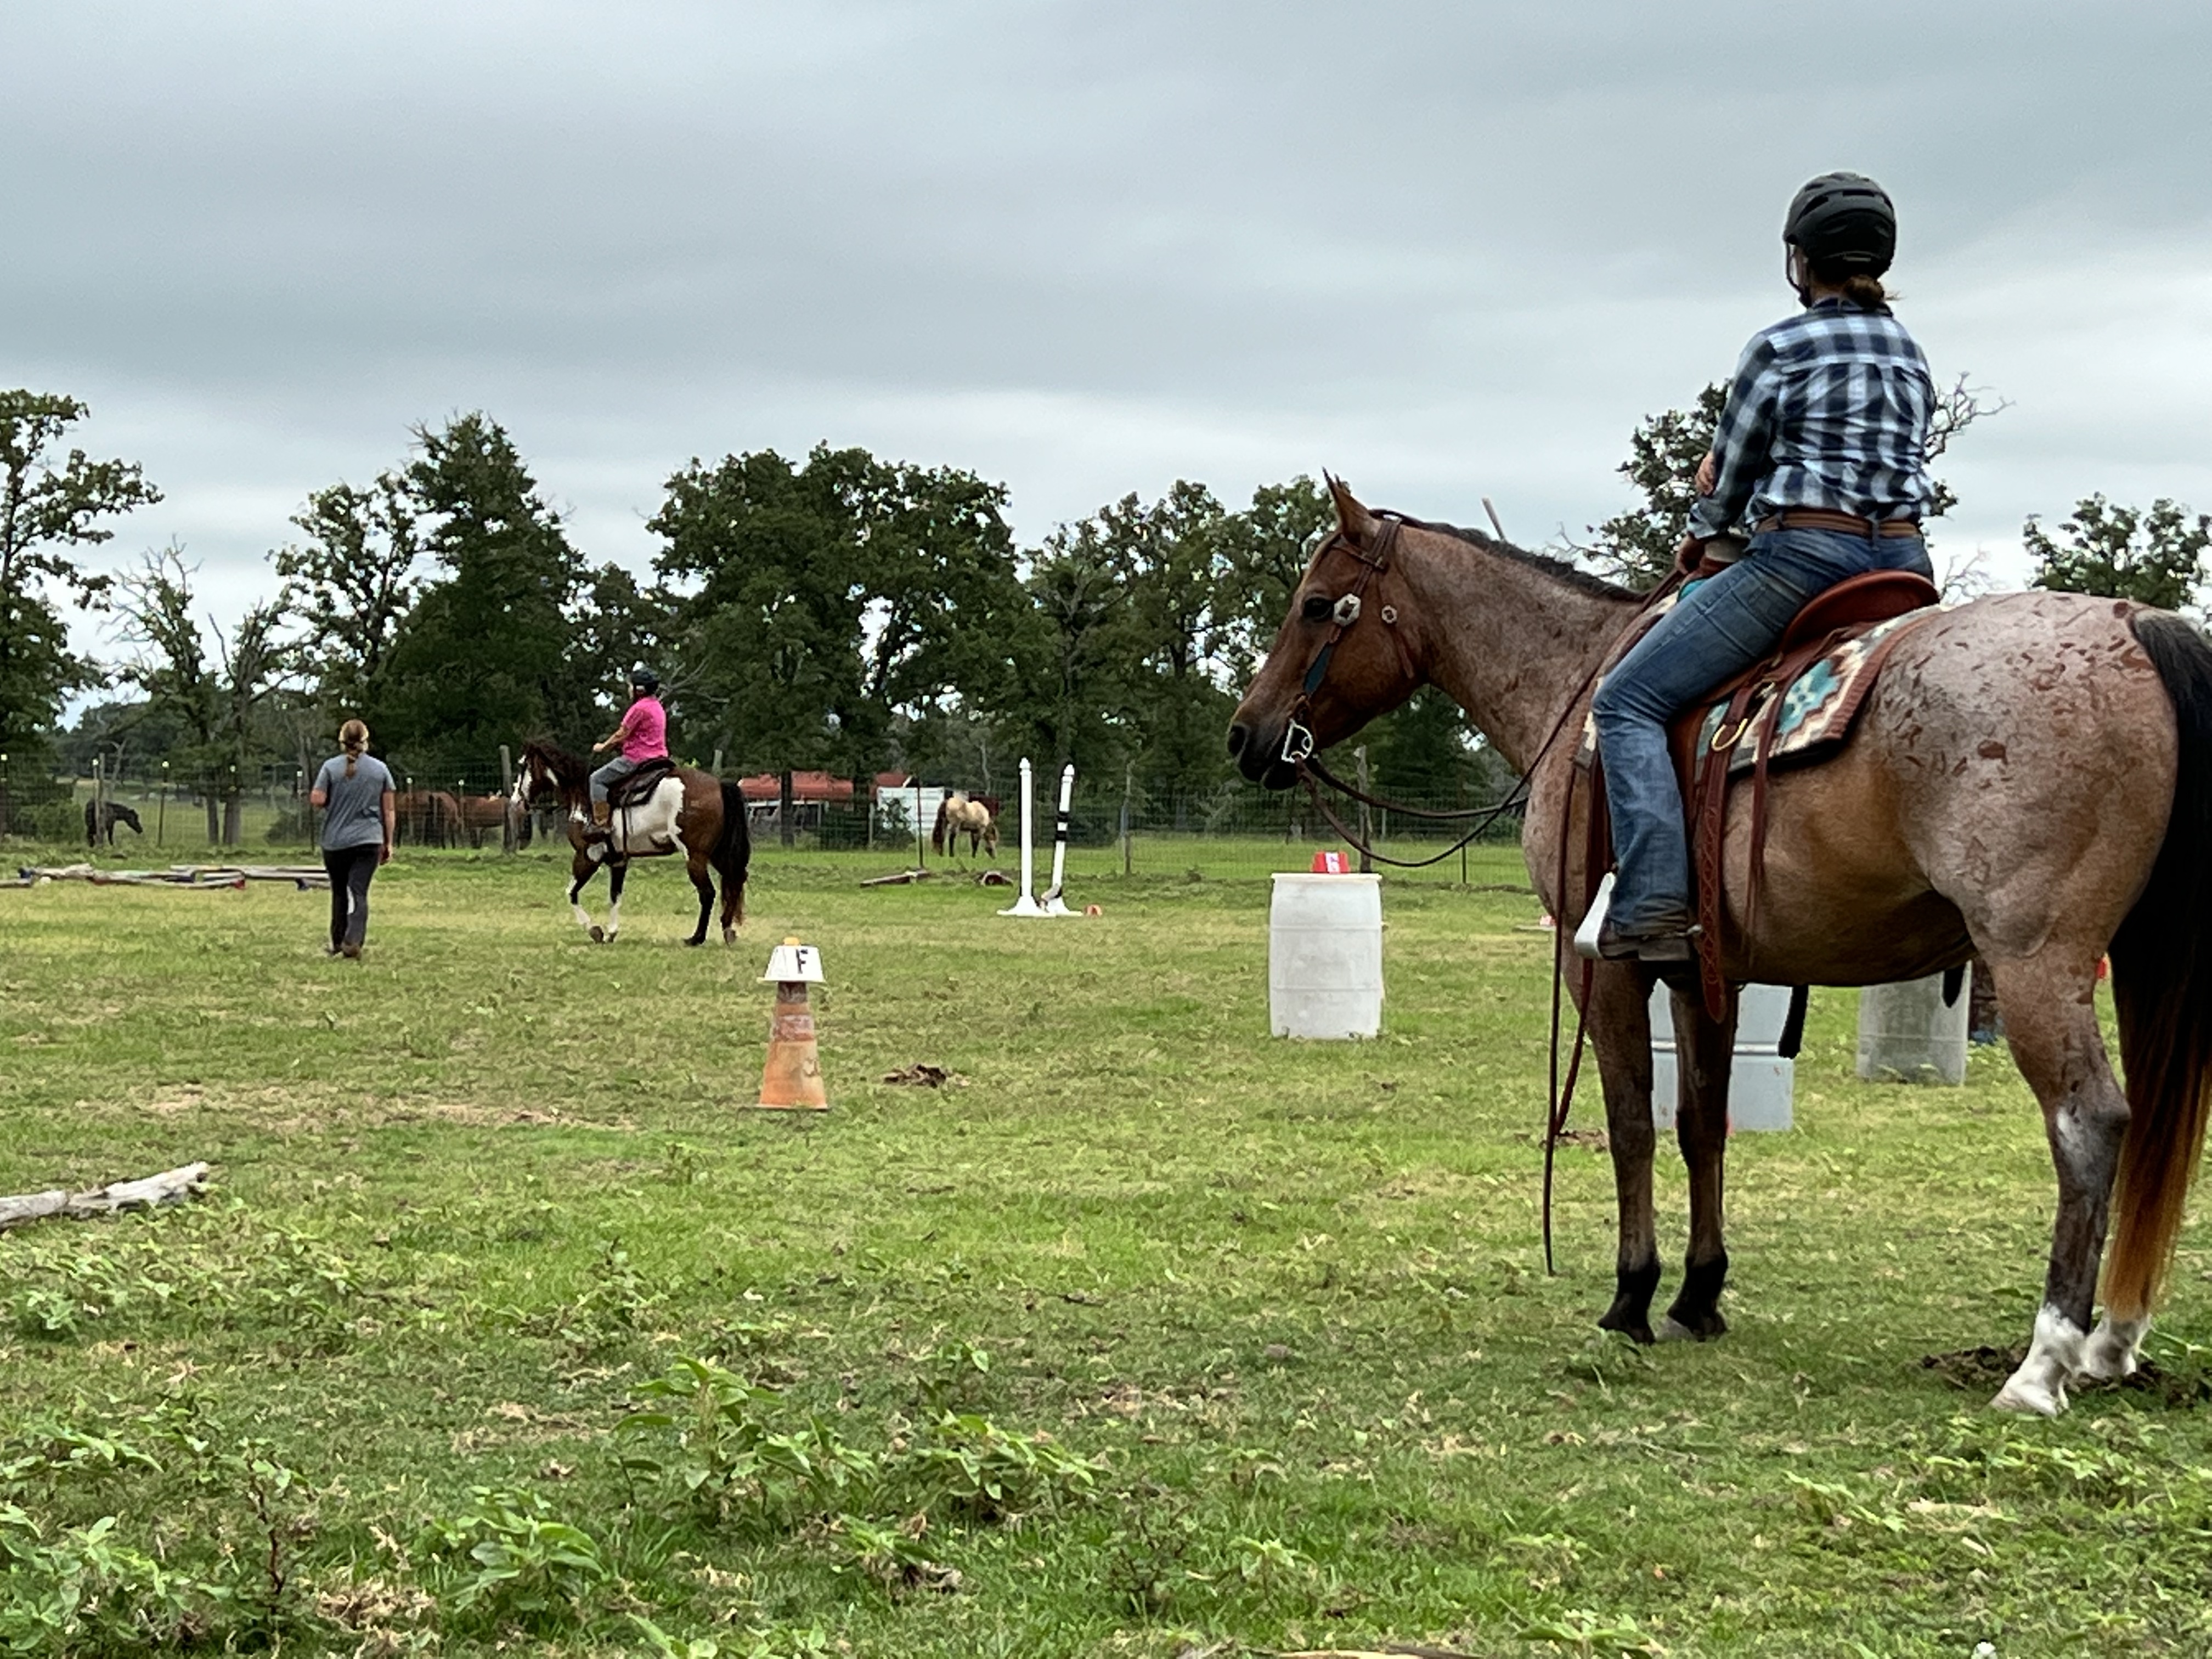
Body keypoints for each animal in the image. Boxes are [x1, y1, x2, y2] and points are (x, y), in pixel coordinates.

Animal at [511, 740, 750, 946]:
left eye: (523, 766)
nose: (515, 803)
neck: (582, 798)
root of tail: (719, 785)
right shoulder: (618, 860)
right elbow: (615, 895)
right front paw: (611, 932)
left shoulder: (587, 856)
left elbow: (571, 893)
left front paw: (595, 931)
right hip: (718, 854)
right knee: (734, 882)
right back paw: (728, 931)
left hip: (695, 857)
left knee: (708, 893)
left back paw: (696, 938)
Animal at [1228, 478, 2212, 1417]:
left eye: (1315, 604)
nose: (1247, 734)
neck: (1573, 685)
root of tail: (2135, 625)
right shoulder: (1709, 971)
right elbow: (1703, 1122)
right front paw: (1699, 1294)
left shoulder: (1603, 965)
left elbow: (1632, 1119)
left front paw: (1631, 1295)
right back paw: (2114, 1342)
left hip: (2038, 957)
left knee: (2091, 1122)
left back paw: (2045, 1362)